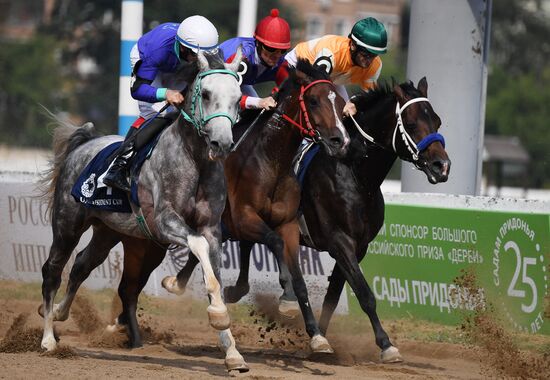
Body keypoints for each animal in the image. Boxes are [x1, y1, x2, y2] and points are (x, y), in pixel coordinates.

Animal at [36, 50, 248, 372]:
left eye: (237, 97)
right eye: (207, 94)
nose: (221, 143)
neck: (194, 159)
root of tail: (82, 144)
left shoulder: (212, 228)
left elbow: (215, 275)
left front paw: (232, 350)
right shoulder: (165, 221)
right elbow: (197, 245)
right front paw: (216, 312)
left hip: (108, 230)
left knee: (83, 264)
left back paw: (60, 313)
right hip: (67, 223)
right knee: (53, 270)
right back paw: (48, 338)